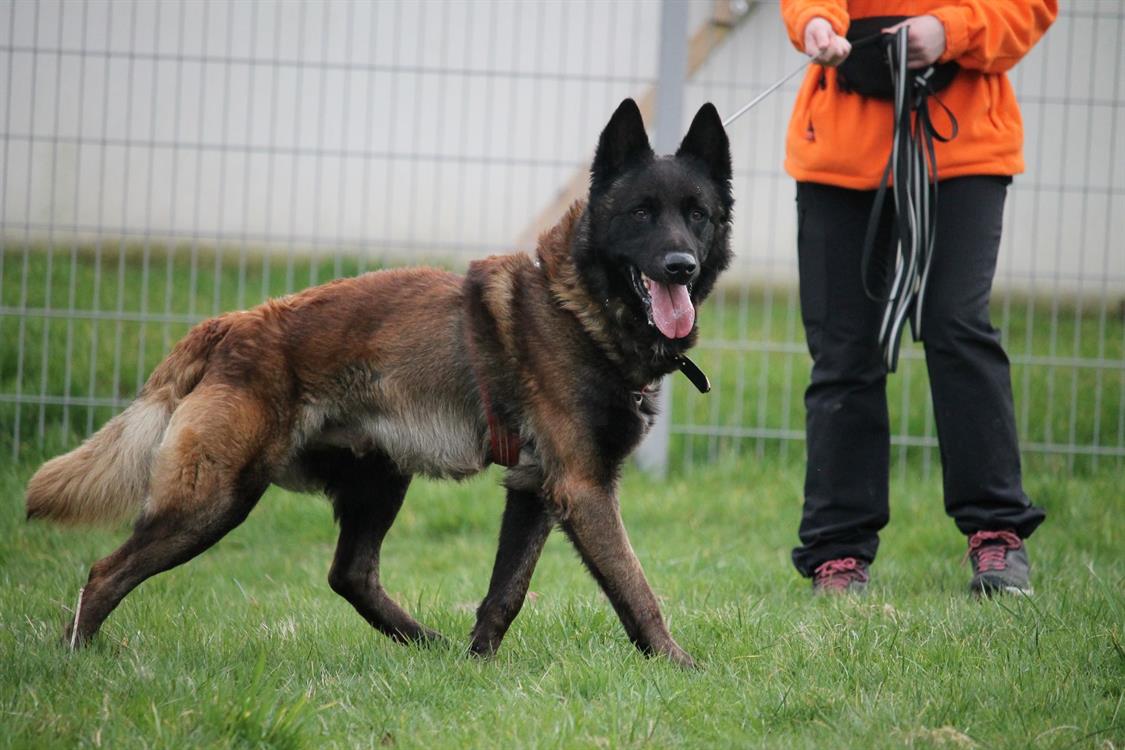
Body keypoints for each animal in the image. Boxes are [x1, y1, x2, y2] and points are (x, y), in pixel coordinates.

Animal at [26, 98, 732, 667]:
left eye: (696, 214)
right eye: (641, 213)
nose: (680, 265)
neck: (578, 306)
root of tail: (234, 325)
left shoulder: (536, 488)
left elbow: (506, 591)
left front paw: (478, 665)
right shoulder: (583, 489)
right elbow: (634, 588)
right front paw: (679, 667)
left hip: (379, 478)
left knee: (350, 575)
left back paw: (428, 647)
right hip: (214, 500)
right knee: (105, 570)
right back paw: (72, 657)